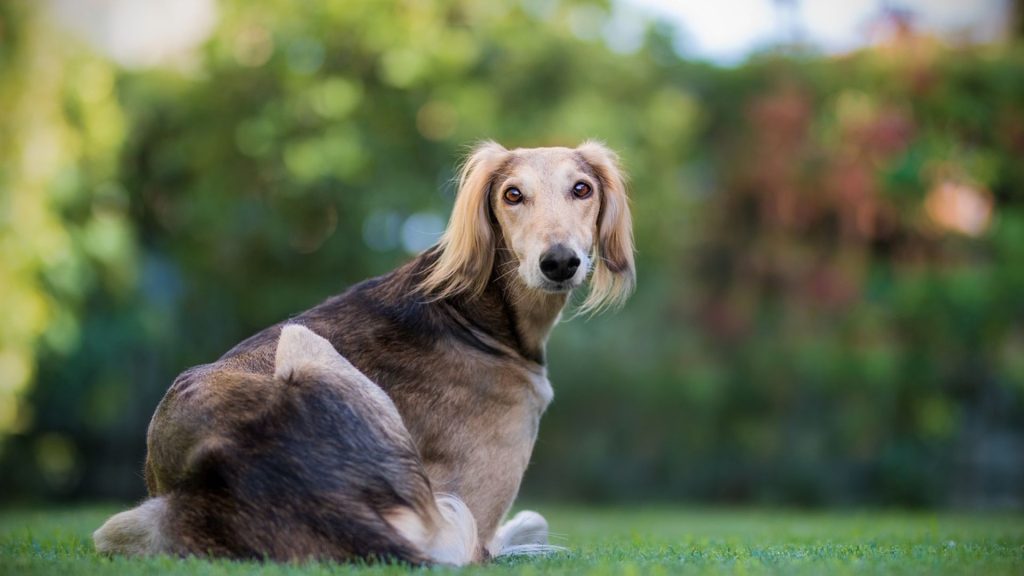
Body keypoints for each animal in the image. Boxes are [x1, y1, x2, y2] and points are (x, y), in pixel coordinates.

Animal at [94, 140, 630, 565]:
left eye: (582, 189)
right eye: (512, 195)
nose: (559, 262)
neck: (475, 310)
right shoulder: (475, 514)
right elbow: (515, 530)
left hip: (125, 525)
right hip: (302, 339)